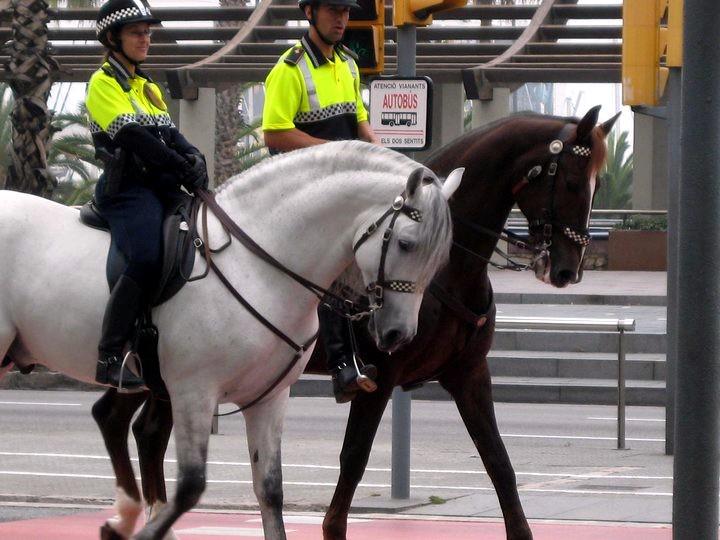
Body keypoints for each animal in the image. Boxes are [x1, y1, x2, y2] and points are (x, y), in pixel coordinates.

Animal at [0, 141, 462, 536]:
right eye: (406, 243)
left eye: (440, 259)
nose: (399, 333)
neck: (255, 265)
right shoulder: (193, 393)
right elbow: (190, 486)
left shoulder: (269, 399)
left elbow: (270, 490)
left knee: (114, 419)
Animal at [90, 106, 620, 540]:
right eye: (573, 183)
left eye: (596, 185)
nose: (567, 269)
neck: (446, 273)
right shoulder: (379, 378)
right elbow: (354, 461)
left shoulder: (469, 374)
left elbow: (499, 464)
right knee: (125, 422)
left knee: (139, 429)